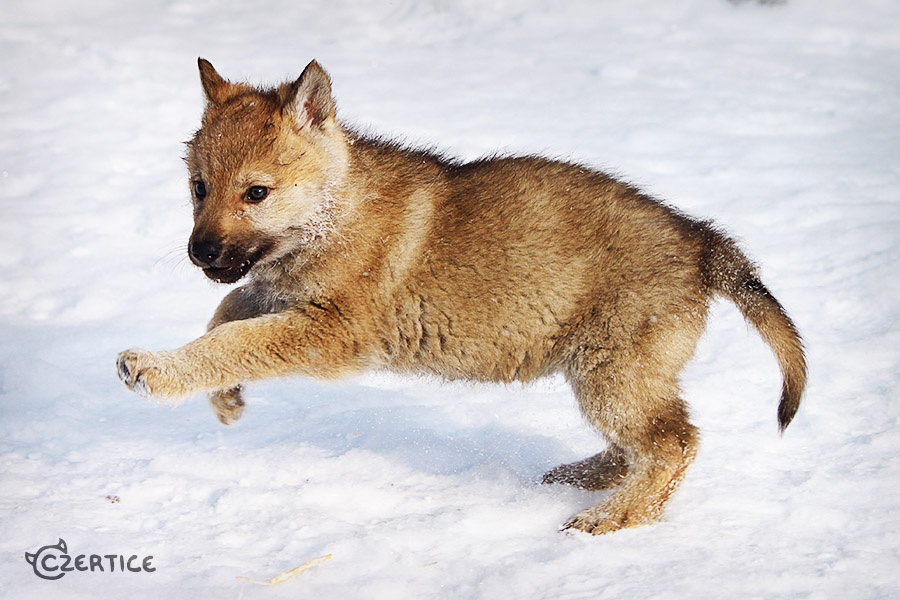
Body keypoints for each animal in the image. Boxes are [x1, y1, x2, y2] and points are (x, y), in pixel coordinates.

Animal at [116, 61, 804, 536]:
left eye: (255, 193)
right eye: (198, 187)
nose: (199, 252)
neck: (336, 210)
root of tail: (703, 240)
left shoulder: (328, 330)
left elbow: (235, 337)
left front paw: (156, 369)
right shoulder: (280, 294)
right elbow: (225, 317)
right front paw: (225, 398)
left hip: (612, 372)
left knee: (675, 442)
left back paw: (612, 518)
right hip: (606, 372)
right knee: (646, 442)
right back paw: (585, 479)